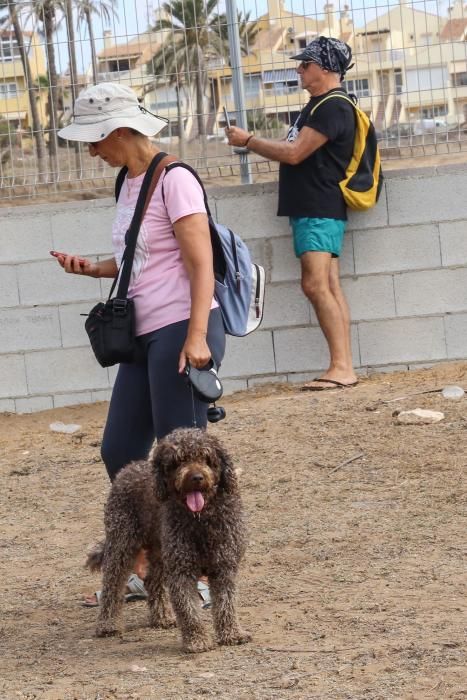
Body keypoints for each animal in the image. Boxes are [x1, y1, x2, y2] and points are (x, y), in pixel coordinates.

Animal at [85, 430, 250, 652]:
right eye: (178, 461)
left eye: (206, 458)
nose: (196, 477)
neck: (200, 519)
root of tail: (128, 469)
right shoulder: (181, 570)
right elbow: (188, 609)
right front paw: (197, 640)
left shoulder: (223, 566)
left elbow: (226, 603)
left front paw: (232, 634)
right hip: (122, 542)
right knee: (112, 583)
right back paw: (108, 624)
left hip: (160, 551)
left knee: (152, 581)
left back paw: (162, 617)